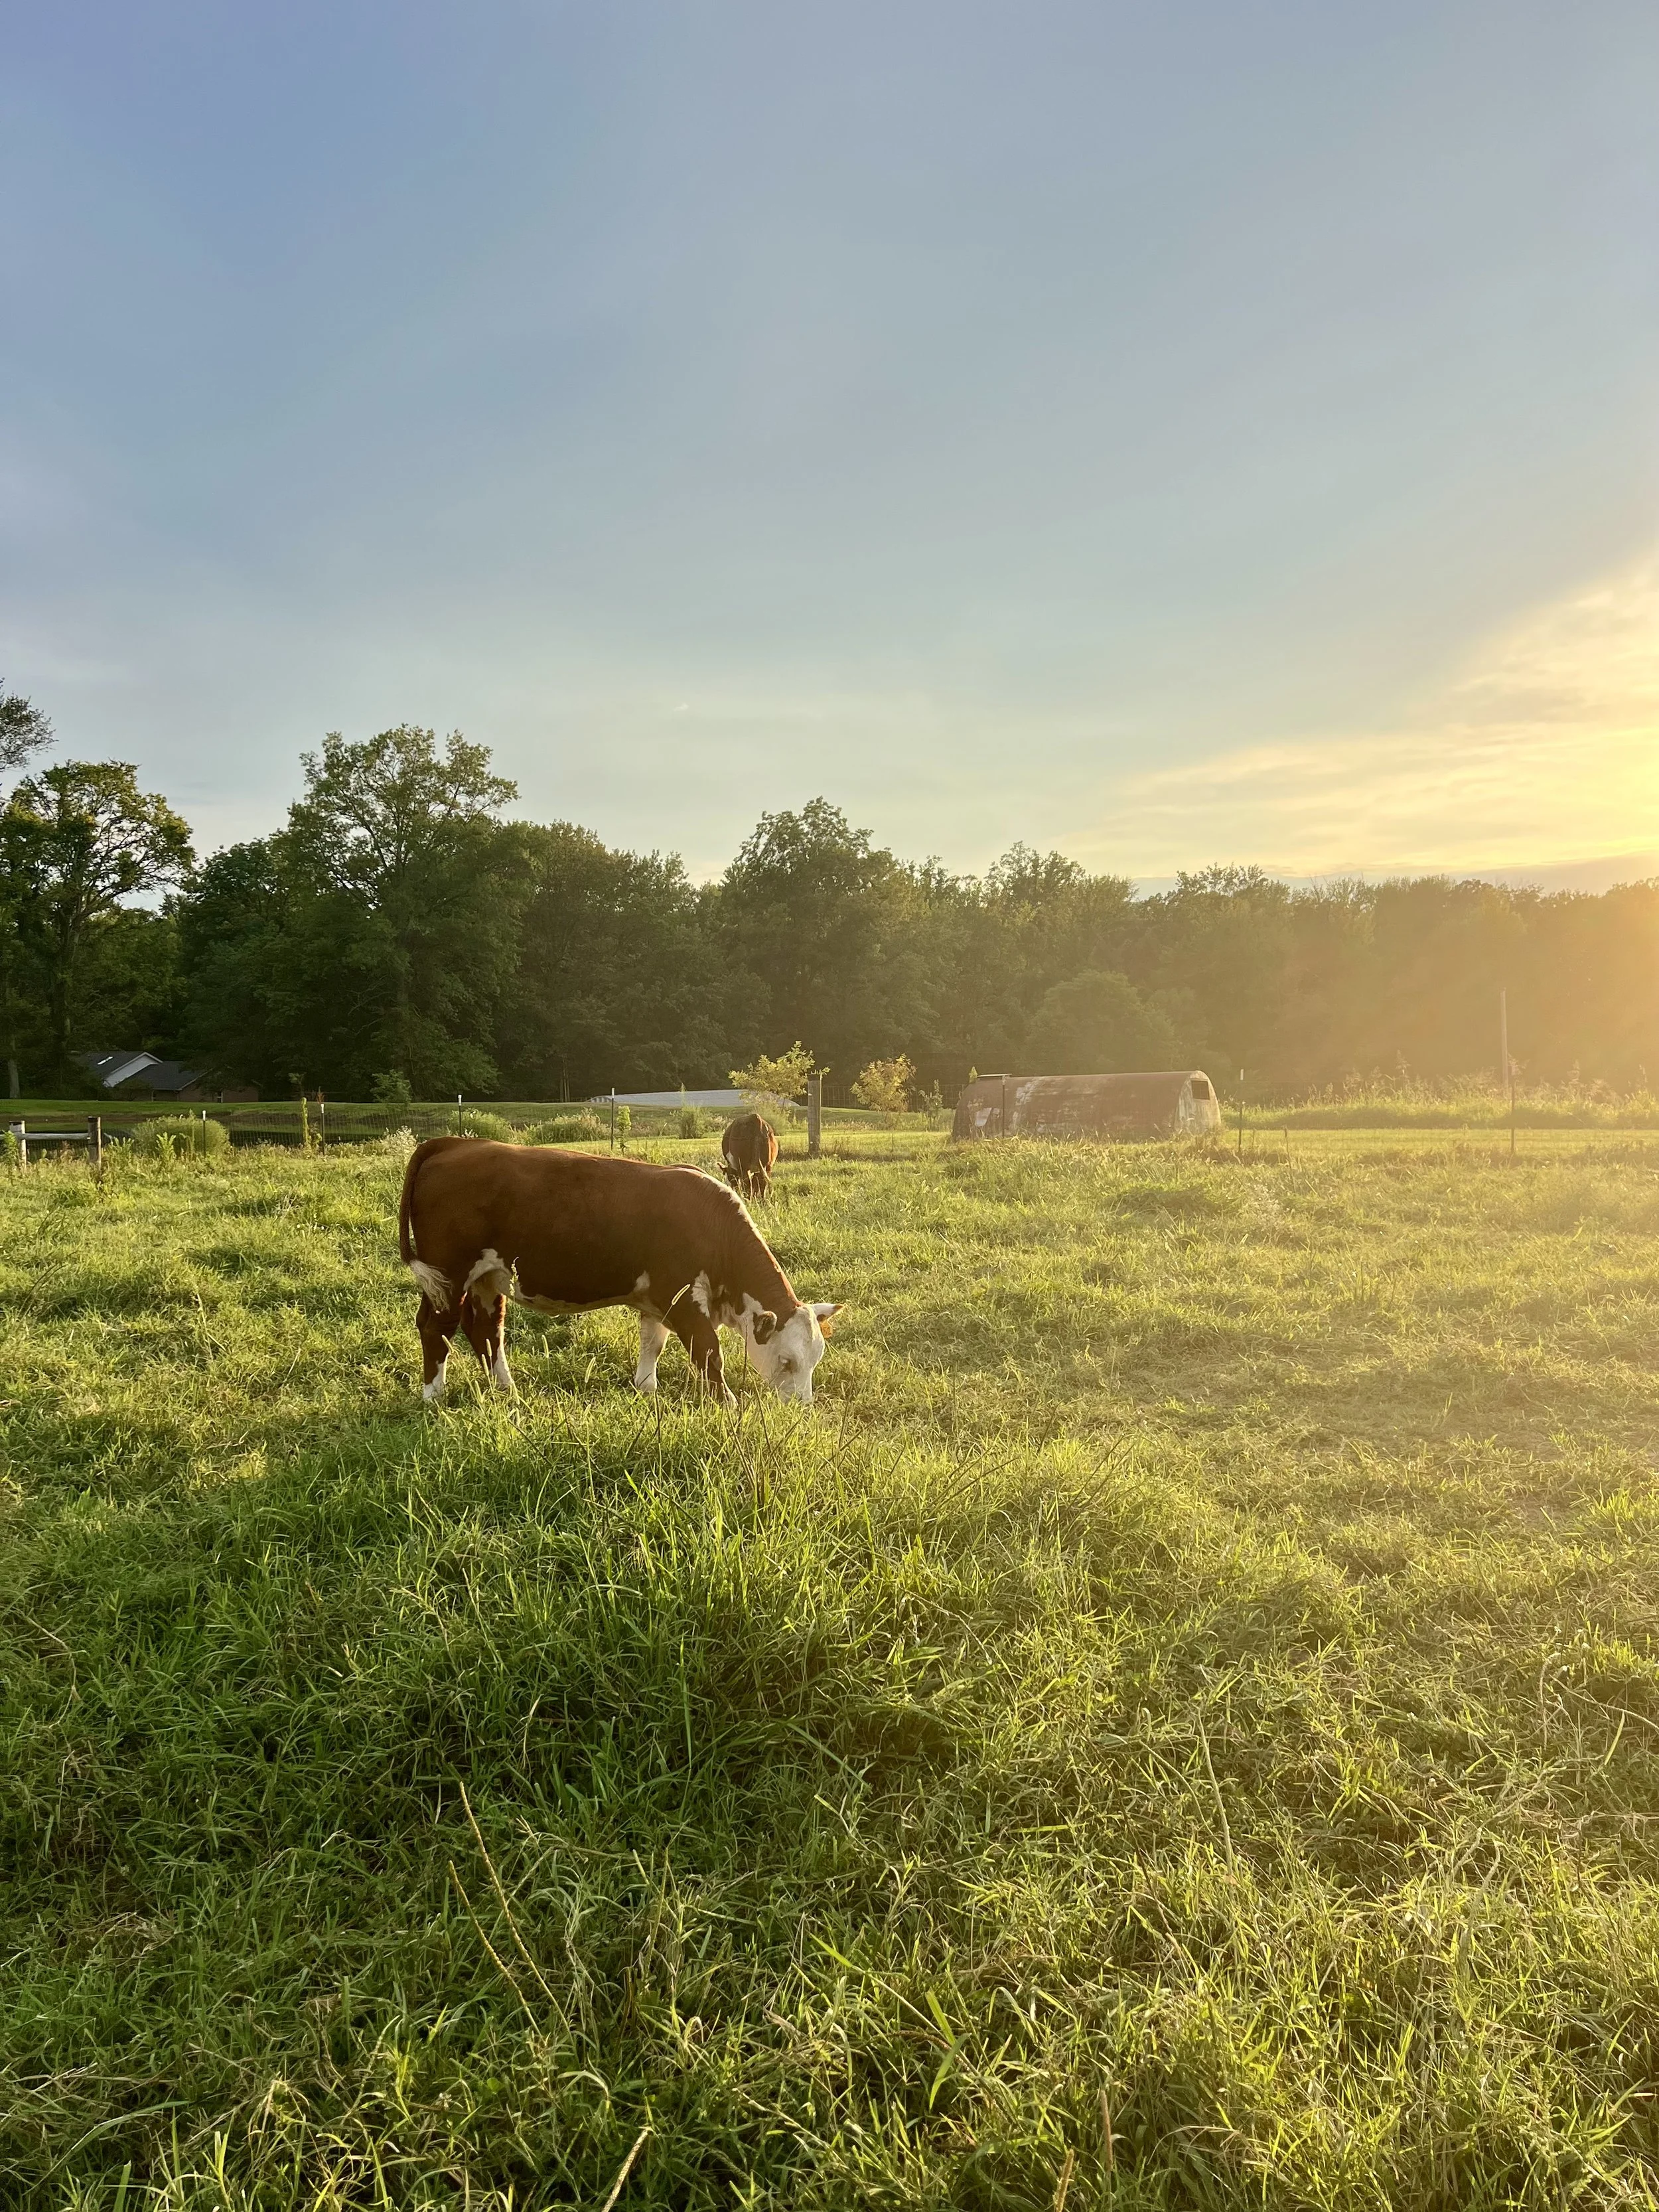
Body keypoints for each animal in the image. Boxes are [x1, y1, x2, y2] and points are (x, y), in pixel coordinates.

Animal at [397, 1137, 840, 1407]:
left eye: (816, 1359)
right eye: (787, 1362)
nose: (802, 1407)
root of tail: (454, 1144)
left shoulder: (658, 1300)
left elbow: (653, 1343)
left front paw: (646, 1389)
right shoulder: (684, 1299)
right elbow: (708, 1352)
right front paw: (728, 1404)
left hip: (488, 1279)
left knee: (487, 1330)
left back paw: (507, 1390)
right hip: (448, 1275)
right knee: (436, 1327)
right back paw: (433, 1396)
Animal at [721, 1112, 779, 1201]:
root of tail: (756, 1118)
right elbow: (756, 1184)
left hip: (743, 1165)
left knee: (747, 1184)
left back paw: (748, 1200)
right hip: (768, 1165)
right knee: (762, 1182)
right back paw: (763, 1201)